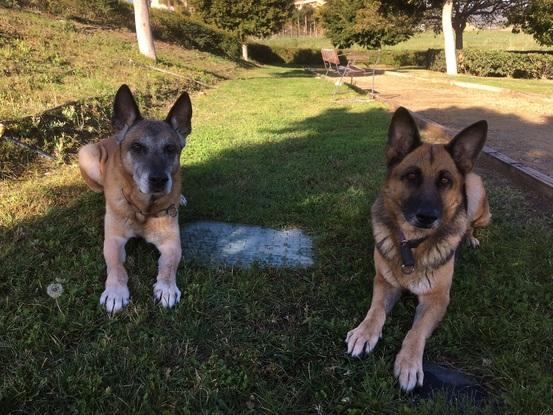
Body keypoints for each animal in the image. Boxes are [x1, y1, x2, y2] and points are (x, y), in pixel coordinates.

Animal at [76, 85, 191, 316]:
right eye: (137, 147)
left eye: (170, 149)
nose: (159, 180)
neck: (143, 208)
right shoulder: (113, 240)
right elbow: (116, 266)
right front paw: (116, 292)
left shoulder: (171, 242)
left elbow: (169, 265)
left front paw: (166, 288)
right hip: (86, 152)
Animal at [344, 106, 492, 390]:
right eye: (412, 176)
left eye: (445, 181)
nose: (427, 217)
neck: (412, 244)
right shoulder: (384, 283)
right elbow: (376, 311)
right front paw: (364, 332)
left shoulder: (437, 299)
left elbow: (416, 331)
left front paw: (409, 363)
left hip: (477, 195)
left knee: (470, 224)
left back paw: (469, 238)